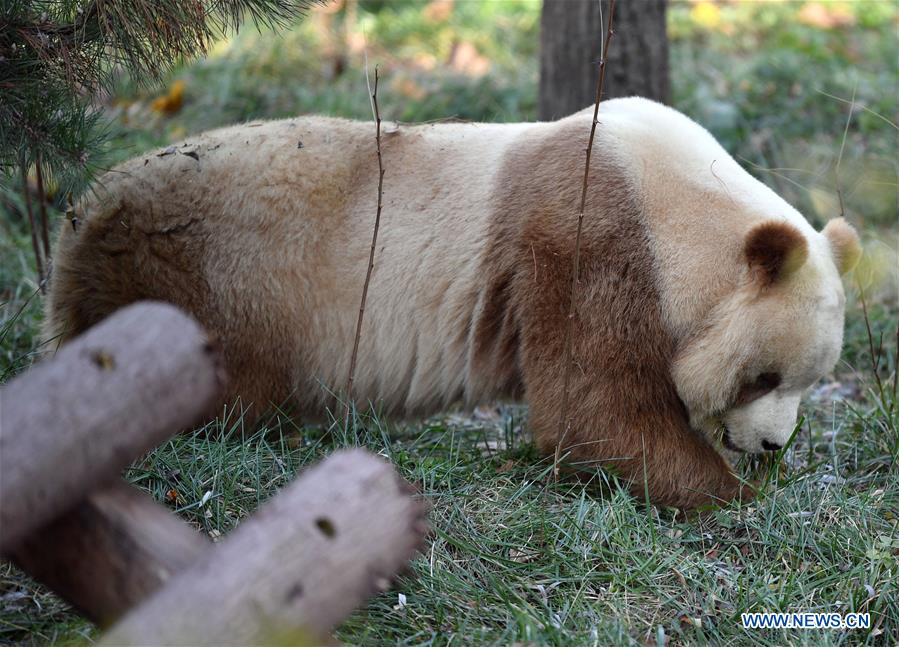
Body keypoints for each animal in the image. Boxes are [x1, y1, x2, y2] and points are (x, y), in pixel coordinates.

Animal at [45, 97, 860, 512]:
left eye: (808, 381)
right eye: (762, 376)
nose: (771, 446)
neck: (683, 202)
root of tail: (83, 215)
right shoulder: (589, 232)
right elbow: (592, 408)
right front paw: (732, 498)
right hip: (217, 273)